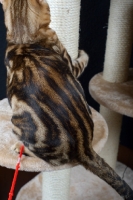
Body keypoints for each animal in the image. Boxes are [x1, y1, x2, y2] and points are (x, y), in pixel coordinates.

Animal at [0, 0, 132, 199]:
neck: (23, 38)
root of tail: (84, 148)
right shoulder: (69, 64)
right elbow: (83, 60)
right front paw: (83, 52)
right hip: (18, 122)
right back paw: (19, 147)